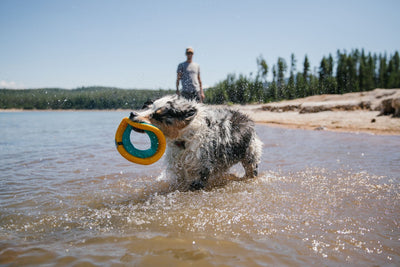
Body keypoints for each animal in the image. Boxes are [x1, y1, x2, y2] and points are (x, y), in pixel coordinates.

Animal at [130, 95, 264, 192]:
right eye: (147, 108)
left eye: (157, 115)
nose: (132, 114)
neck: (184, 139)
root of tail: (246, 117)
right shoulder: (178, 169)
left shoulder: (200, 170)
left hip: (251, 157)